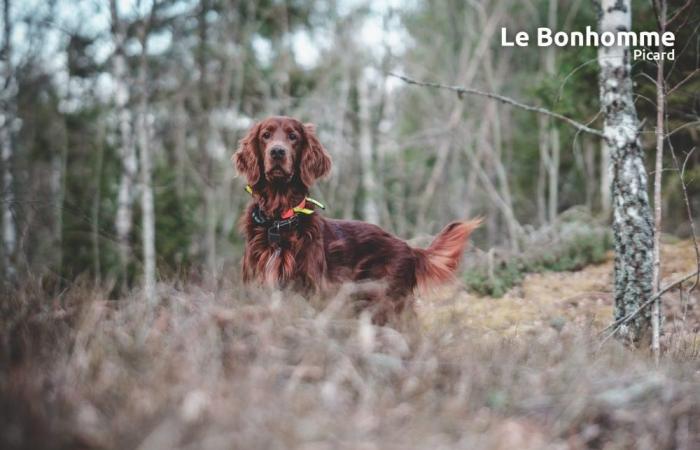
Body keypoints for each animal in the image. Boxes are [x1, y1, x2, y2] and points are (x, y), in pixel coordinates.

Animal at [232, 114, 478, 322]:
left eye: (293, 137)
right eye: (266, 135)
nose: (277, 152)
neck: (278, 221)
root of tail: (409, 248)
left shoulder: (311, 290)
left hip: (389, 304)